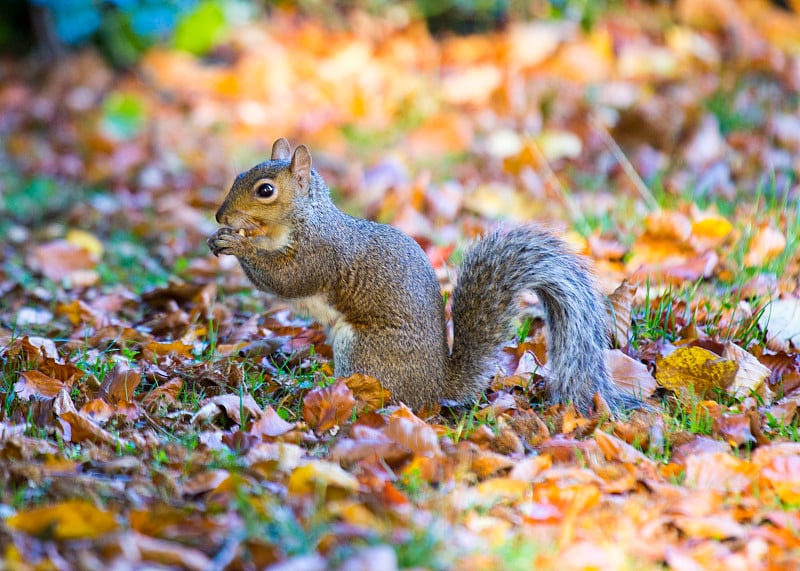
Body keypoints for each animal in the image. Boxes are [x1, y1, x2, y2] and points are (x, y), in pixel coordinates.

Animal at [208, 140, 644, 416]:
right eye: (241, 175)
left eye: (265, 190)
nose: (219, 216)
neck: (304, 219)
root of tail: (436, 386)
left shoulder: (321, 253)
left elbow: (286, 279)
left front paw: (237, 244)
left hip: (362, 349)